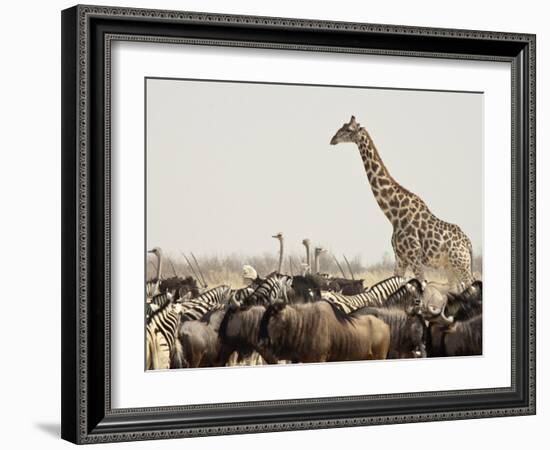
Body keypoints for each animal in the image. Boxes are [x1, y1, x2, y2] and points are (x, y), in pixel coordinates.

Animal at [330, 116, 476, 288]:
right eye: (342, 126)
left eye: (348, 130)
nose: (333, 139)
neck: (394, 214)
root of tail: (468, 243)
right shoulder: (400, 258)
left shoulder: (414, 257)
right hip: (450, 268)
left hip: (461, 265)